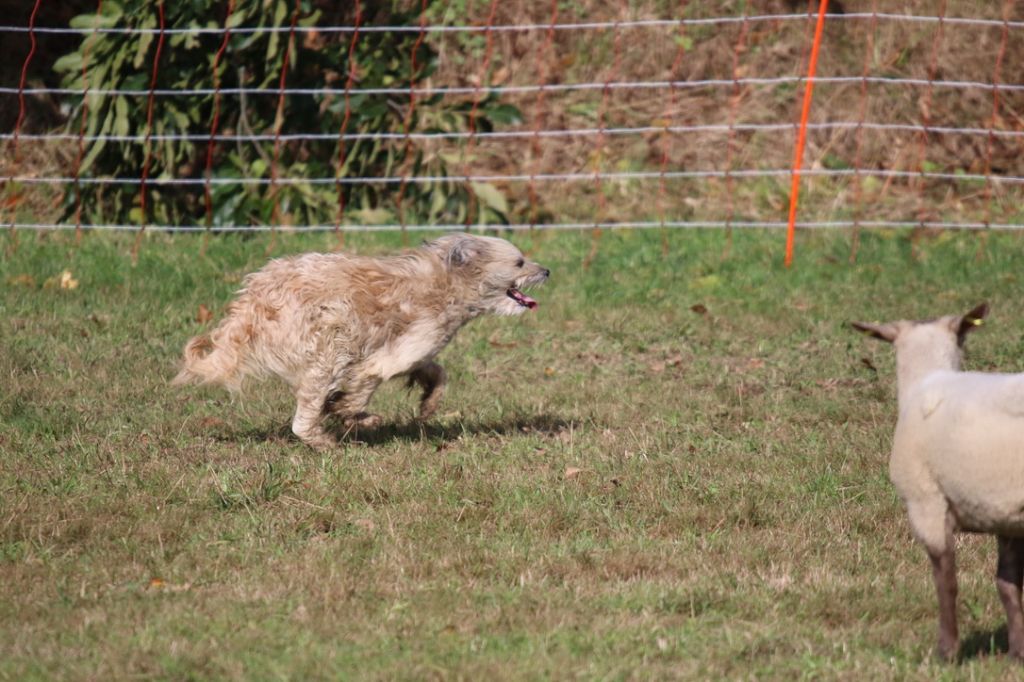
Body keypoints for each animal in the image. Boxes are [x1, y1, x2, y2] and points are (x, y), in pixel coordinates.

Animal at [172, 233, 548, 446]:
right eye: (519, 262)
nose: (547, 270)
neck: (447, 284)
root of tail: (249, 304)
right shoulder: (382, 360)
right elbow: (359, 390)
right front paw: (350, 414)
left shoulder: (415, 352)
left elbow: (437, 373)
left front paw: (428, 404)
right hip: (330, 344)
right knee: (303, 416)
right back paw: (324, 440)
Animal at [851, 301, 1024, 659]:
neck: (925, 378)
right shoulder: (1004, 514)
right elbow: (1008, 584)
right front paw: (1017, 651)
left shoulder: (926, 503)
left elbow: (946, 582)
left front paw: (946, 652)